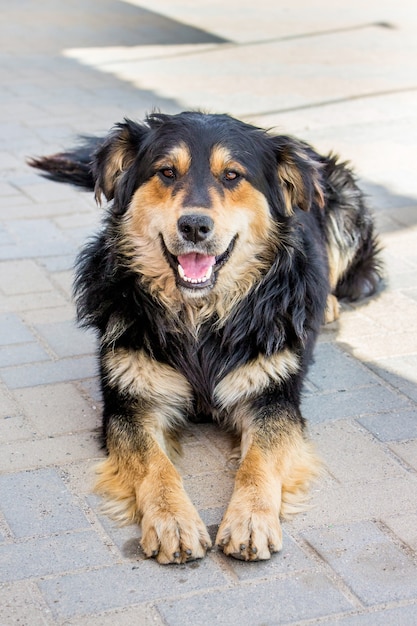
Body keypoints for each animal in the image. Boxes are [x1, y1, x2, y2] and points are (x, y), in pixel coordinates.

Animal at [28, 111, 380, 560]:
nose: (194, 225)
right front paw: (173, 521)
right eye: (166, 172)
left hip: (343, 207)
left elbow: (260, 459)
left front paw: (250, 520)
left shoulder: (274, 396)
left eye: (232, 175)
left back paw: (330, 304)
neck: (200, 316)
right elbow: (155, 464)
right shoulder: (130, 401)